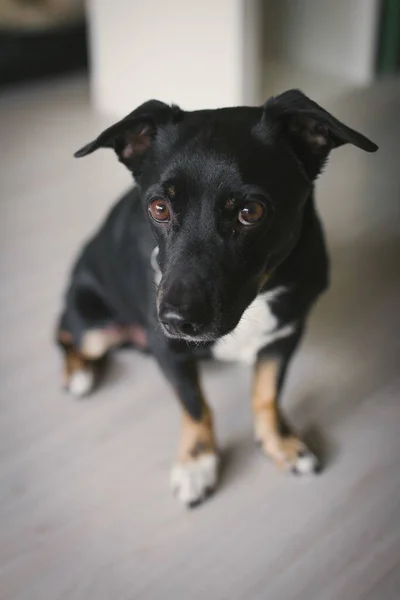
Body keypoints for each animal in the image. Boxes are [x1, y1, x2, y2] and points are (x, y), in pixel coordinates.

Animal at [56, 89, 378, 506]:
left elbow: (267, 393)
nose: (176, 321)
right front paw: (198, 462)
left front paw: (280, 442)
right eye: (159, 207)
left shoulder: (286, 334)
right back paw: (77, 373)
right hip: (93, 327)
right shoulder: (170, 352)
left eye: (251, 211)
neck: (259, 296)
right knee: (65, 331)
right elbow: (195, 406)